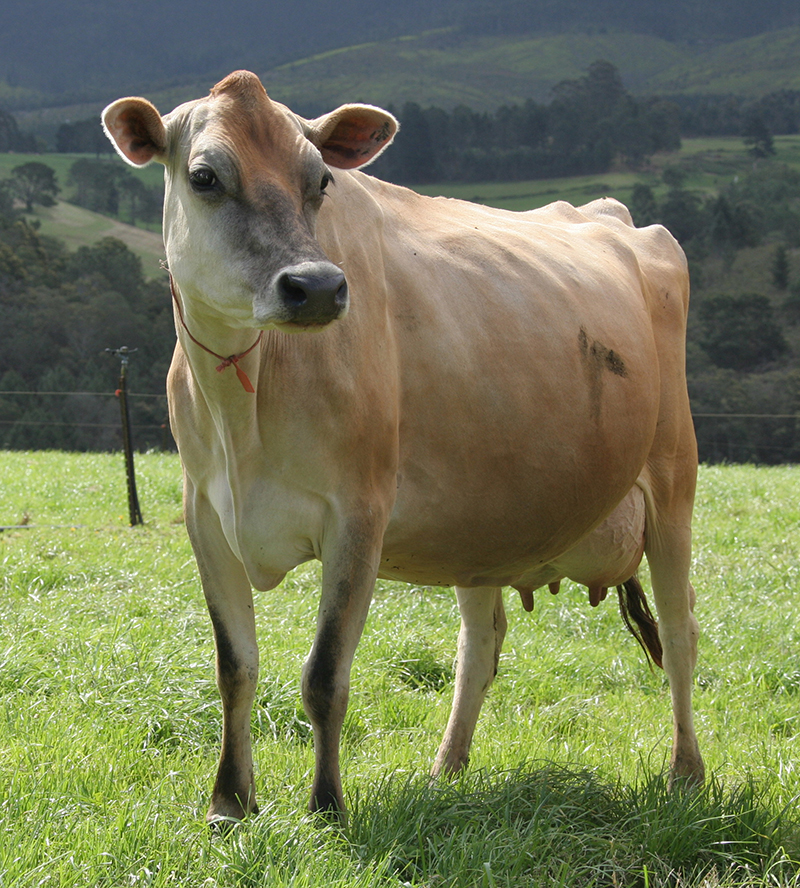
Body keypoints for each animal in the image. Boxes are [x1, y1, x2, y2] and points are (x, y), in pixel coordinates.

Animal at [101, 69, 708, 824]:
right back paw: (446, 769)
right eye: (205, 177)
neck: (249, 399)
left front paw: (326, 806)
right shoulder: (206, 516)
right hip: (489, 520)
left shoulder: (359, 512)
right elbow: (235, 667)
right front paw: (230, 802)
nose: (318, 286)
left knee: (680, 633)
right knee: (481, 644)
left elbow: (325, 673)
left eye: (321, 180)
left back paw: (686, 773)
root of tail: (616, 216)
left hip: (672, 478)